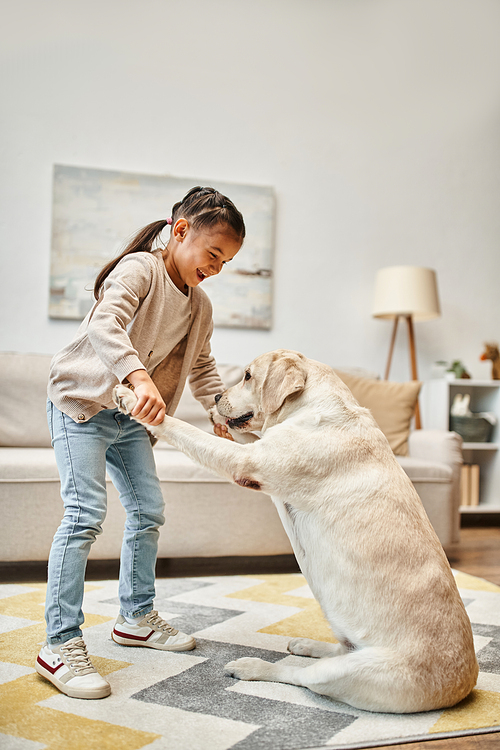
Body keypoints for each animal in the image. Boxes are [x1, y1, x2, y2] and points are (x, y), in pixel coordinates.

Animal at [112, 352, 476, 716]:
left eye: (247, 376)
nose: (215, 397)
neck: (314, 406)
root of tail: (464, 685)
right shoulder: (260, 448)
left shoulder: (246, 461)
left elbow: (182, 428)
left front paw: (133, 399)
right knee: (338, 649)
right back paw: (305, 644)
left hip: (351, 671)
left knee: (299, 676)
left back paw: (252, 666)